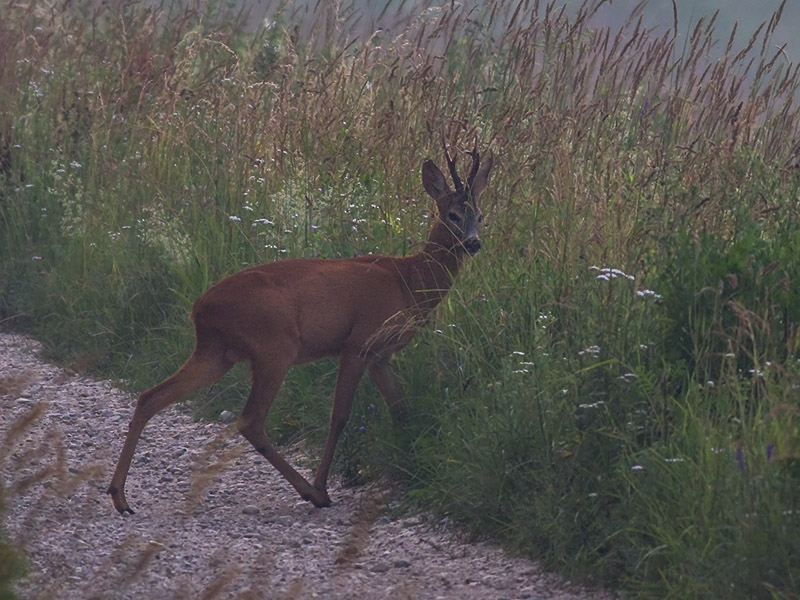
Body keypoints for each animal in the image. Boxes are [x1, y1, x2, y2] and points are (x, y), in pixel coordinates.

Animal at [108, 143, 494, 512]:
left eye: (480, 215)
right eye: (452, 214)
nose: (474, 243)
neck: (409, 281)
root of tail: (199, 308)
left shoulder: (381, 356)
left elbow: (401, 411)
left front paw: (414, 467)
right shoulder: (358, 342)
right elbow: (339, 416)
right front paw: (325, 483)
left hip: (216, 352)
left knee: (151, 396)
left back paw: (120, 497)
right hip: (275, 346)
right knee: (251, 420)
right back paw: (312, 492)